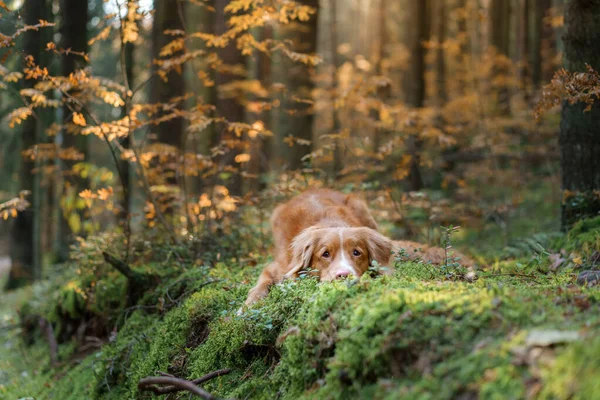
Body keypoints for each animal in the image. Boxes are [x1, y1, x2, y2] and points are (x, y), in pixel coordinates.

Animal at [244, 189, 474, 304]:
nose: (343, 276)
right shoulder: (277, 266)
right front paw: (246, 307)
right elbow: (261, 285)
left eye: (357, 253)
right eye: (325, 254)